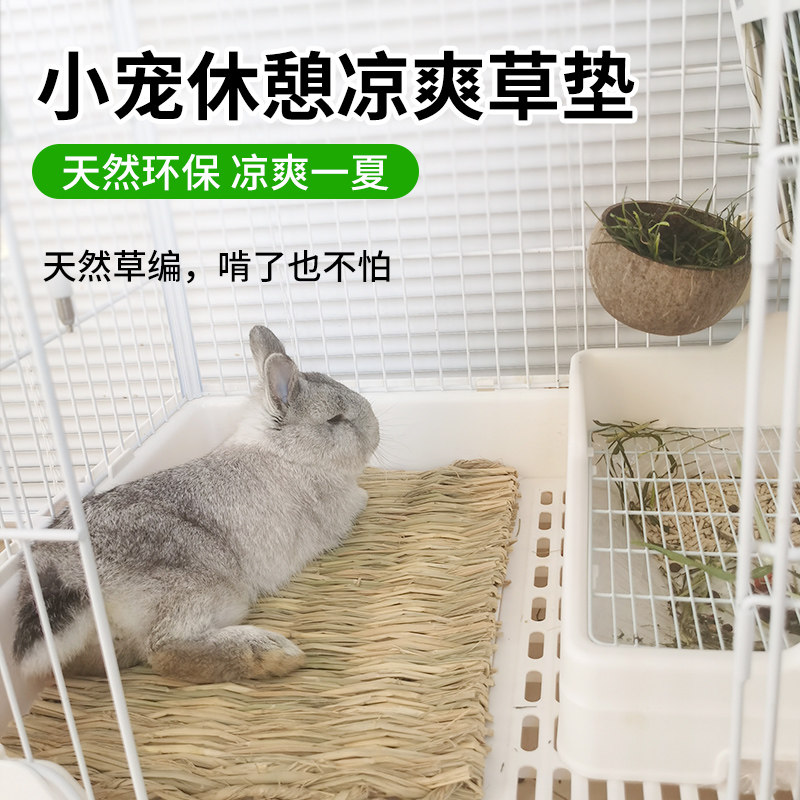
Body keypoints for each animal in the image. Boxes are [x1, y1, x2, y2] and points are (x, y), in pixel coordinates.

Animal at [12, 325, 380, 684]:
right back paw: (274, 654)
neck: (285, 451)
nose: (376, 432)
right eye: (335, 419)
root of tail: (58, 574)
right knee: (165, 651)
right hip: (202, 588)